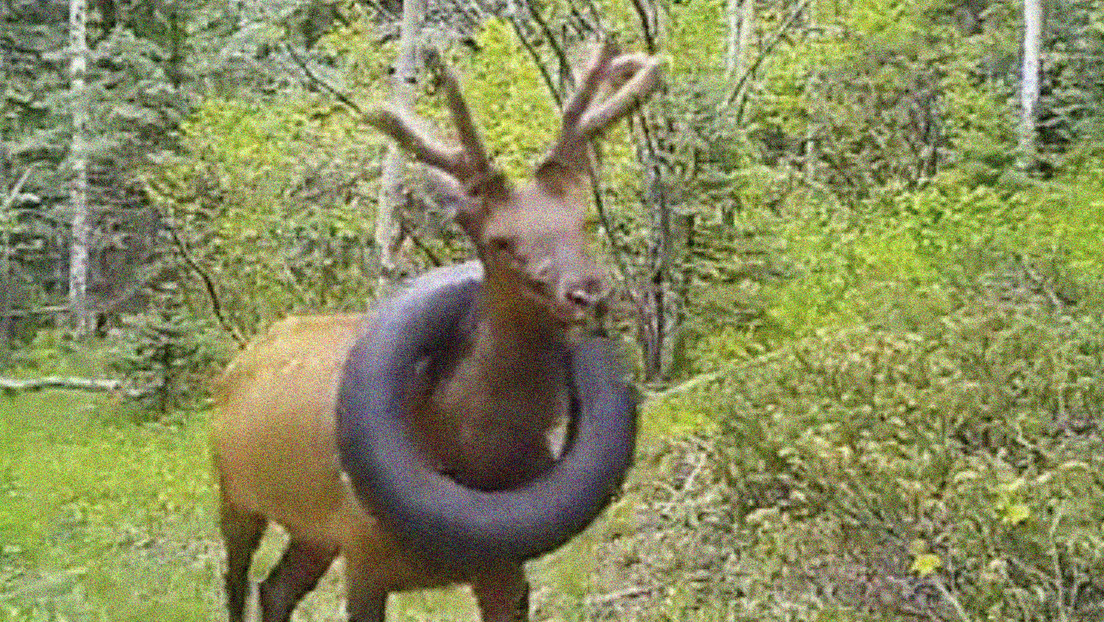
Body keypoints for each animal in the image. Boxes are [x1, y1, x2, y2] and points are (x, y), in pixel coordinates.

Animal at [211, 41, 662, 622]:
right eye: (501, 241)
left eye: (580, 220)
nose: (588, 293)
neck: (467, 454)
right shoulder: (365, 556)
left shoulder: (504, 569)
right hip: (234, 492)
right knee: (237, 583)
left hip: (315, 530)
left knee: (277, 588)